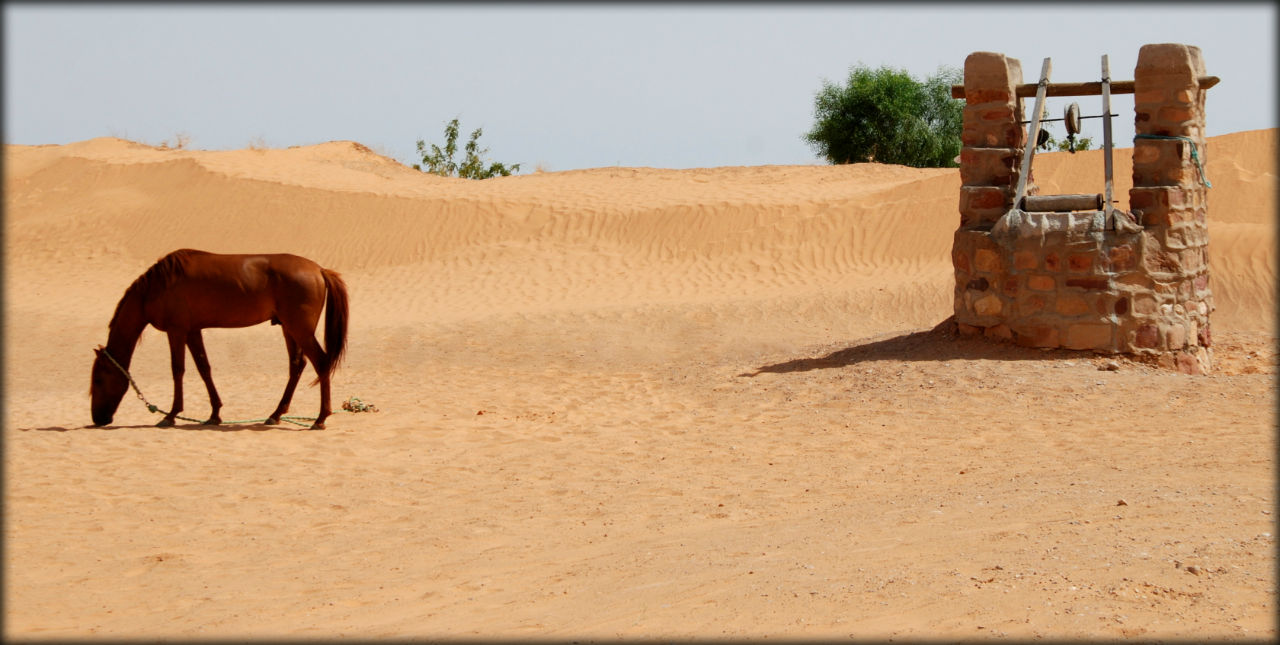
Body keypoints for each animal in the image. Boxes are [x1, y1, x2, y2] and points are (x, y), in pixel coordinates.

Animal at [88, 249, 350, 430]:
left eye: (99, 380)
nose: (98, 419)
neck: (156, 287)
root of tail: (319, 270)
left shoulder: (176, 330)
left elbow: (178, 370)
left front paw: (171, 415)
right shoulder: (193, 331)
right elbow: (204, 368)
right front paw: (214, 414)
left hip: (300, 330)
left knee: (321, 363)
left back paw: (320, 419)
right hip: (289, 329)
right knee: (297, 366)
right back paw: (275, 414)